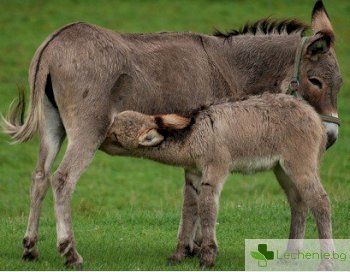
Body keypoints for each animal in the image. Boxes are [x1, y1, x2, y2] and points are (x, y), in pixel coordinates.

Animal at [102, 93, 334, 268]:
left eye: (114, 136)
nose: (99, 138)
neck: (194, 135)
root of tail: (315, 117)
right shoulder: (193, 174)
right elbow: (189, 210)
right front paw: (178, 254)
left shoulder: (214, 170)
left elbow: (207, 208)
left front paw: (208, 256)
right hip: (282, 170)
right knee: (299, 203)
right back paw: (290, 256)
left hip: (300, 165)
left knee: (320, 202)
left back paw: (326, 262)